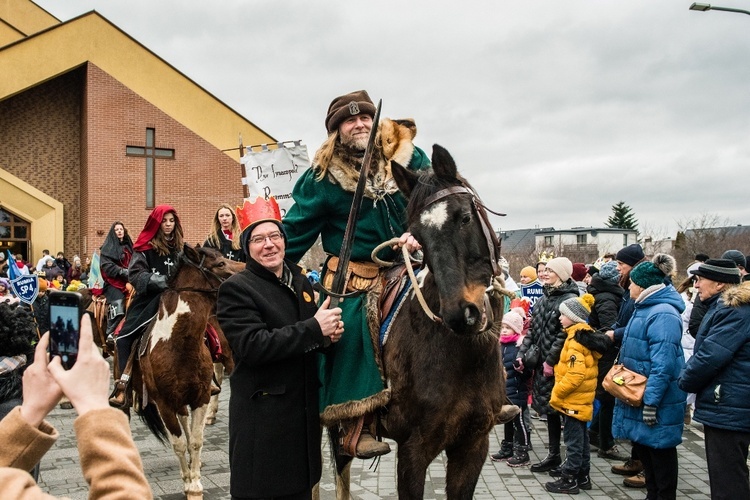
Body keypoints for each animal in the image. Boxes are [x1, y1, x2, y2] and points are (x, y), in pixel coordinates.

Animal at [134, 246, 242, 500]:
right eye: (220, 264)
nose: (247, 269)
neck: (177, 345)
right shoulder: (164, 404)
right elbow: (180, 444)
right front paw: (187, 482)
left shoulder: (201, 397)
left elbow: (195, 441)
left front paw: (195, 485)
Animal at [328, 144, 512, 496]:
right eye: (417, 237)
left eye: (465, 217)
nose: (460, 314)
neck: (465, 355)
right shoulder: (414, 449)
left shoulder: (473, 445)